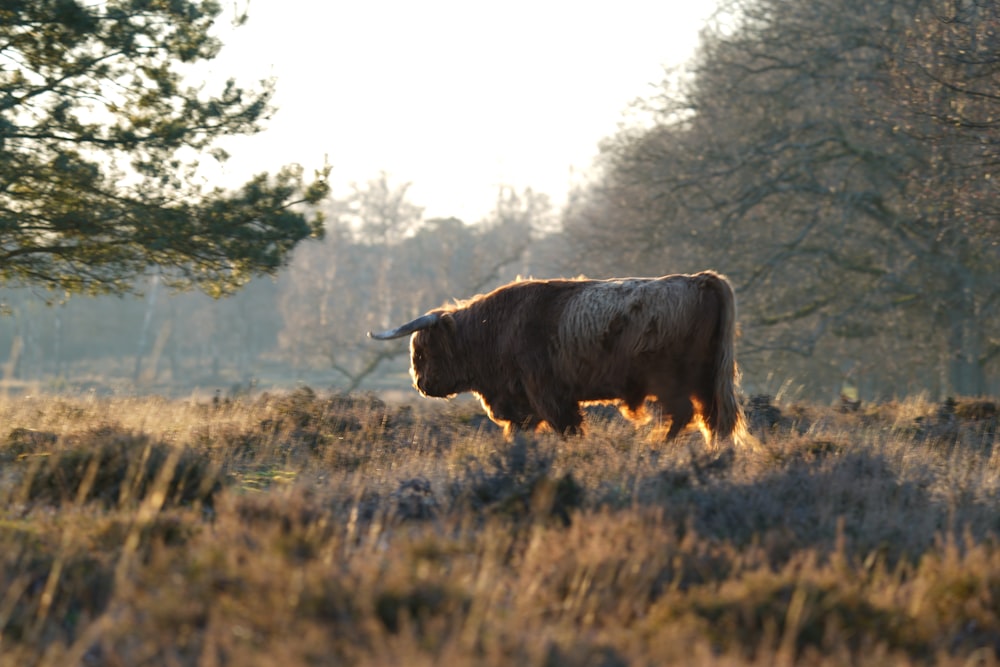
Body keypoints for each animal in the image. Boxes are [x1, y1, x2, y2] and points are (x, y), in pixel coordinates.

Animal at [372, 272, 748, 448]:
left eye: (422, 351)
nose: (420, 384)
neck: (496, 329)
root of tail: (699, 280)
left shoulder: (549, 395)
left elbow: (569, 430)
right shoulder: (525, 404)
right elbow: (517, 434)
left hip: (672, 381)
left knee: (685, 414)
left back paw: (658, 447)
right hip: (706, 381)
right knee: (712, 419)